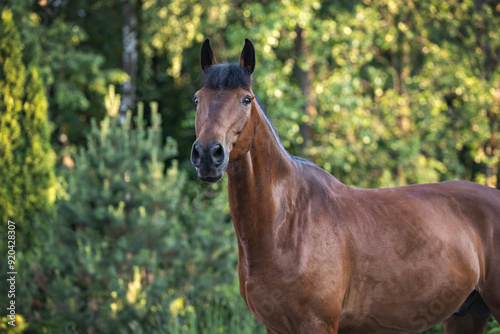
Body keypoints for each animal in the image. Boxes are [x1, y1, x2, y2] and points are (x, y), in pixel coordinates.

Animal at [189, 38, 498, 332]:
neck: (286, 223)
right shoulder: (274, 327)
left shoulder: (318, 323)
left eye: (246, 99)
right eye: (197, 99)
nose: (207, 155)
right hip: (465, 315)